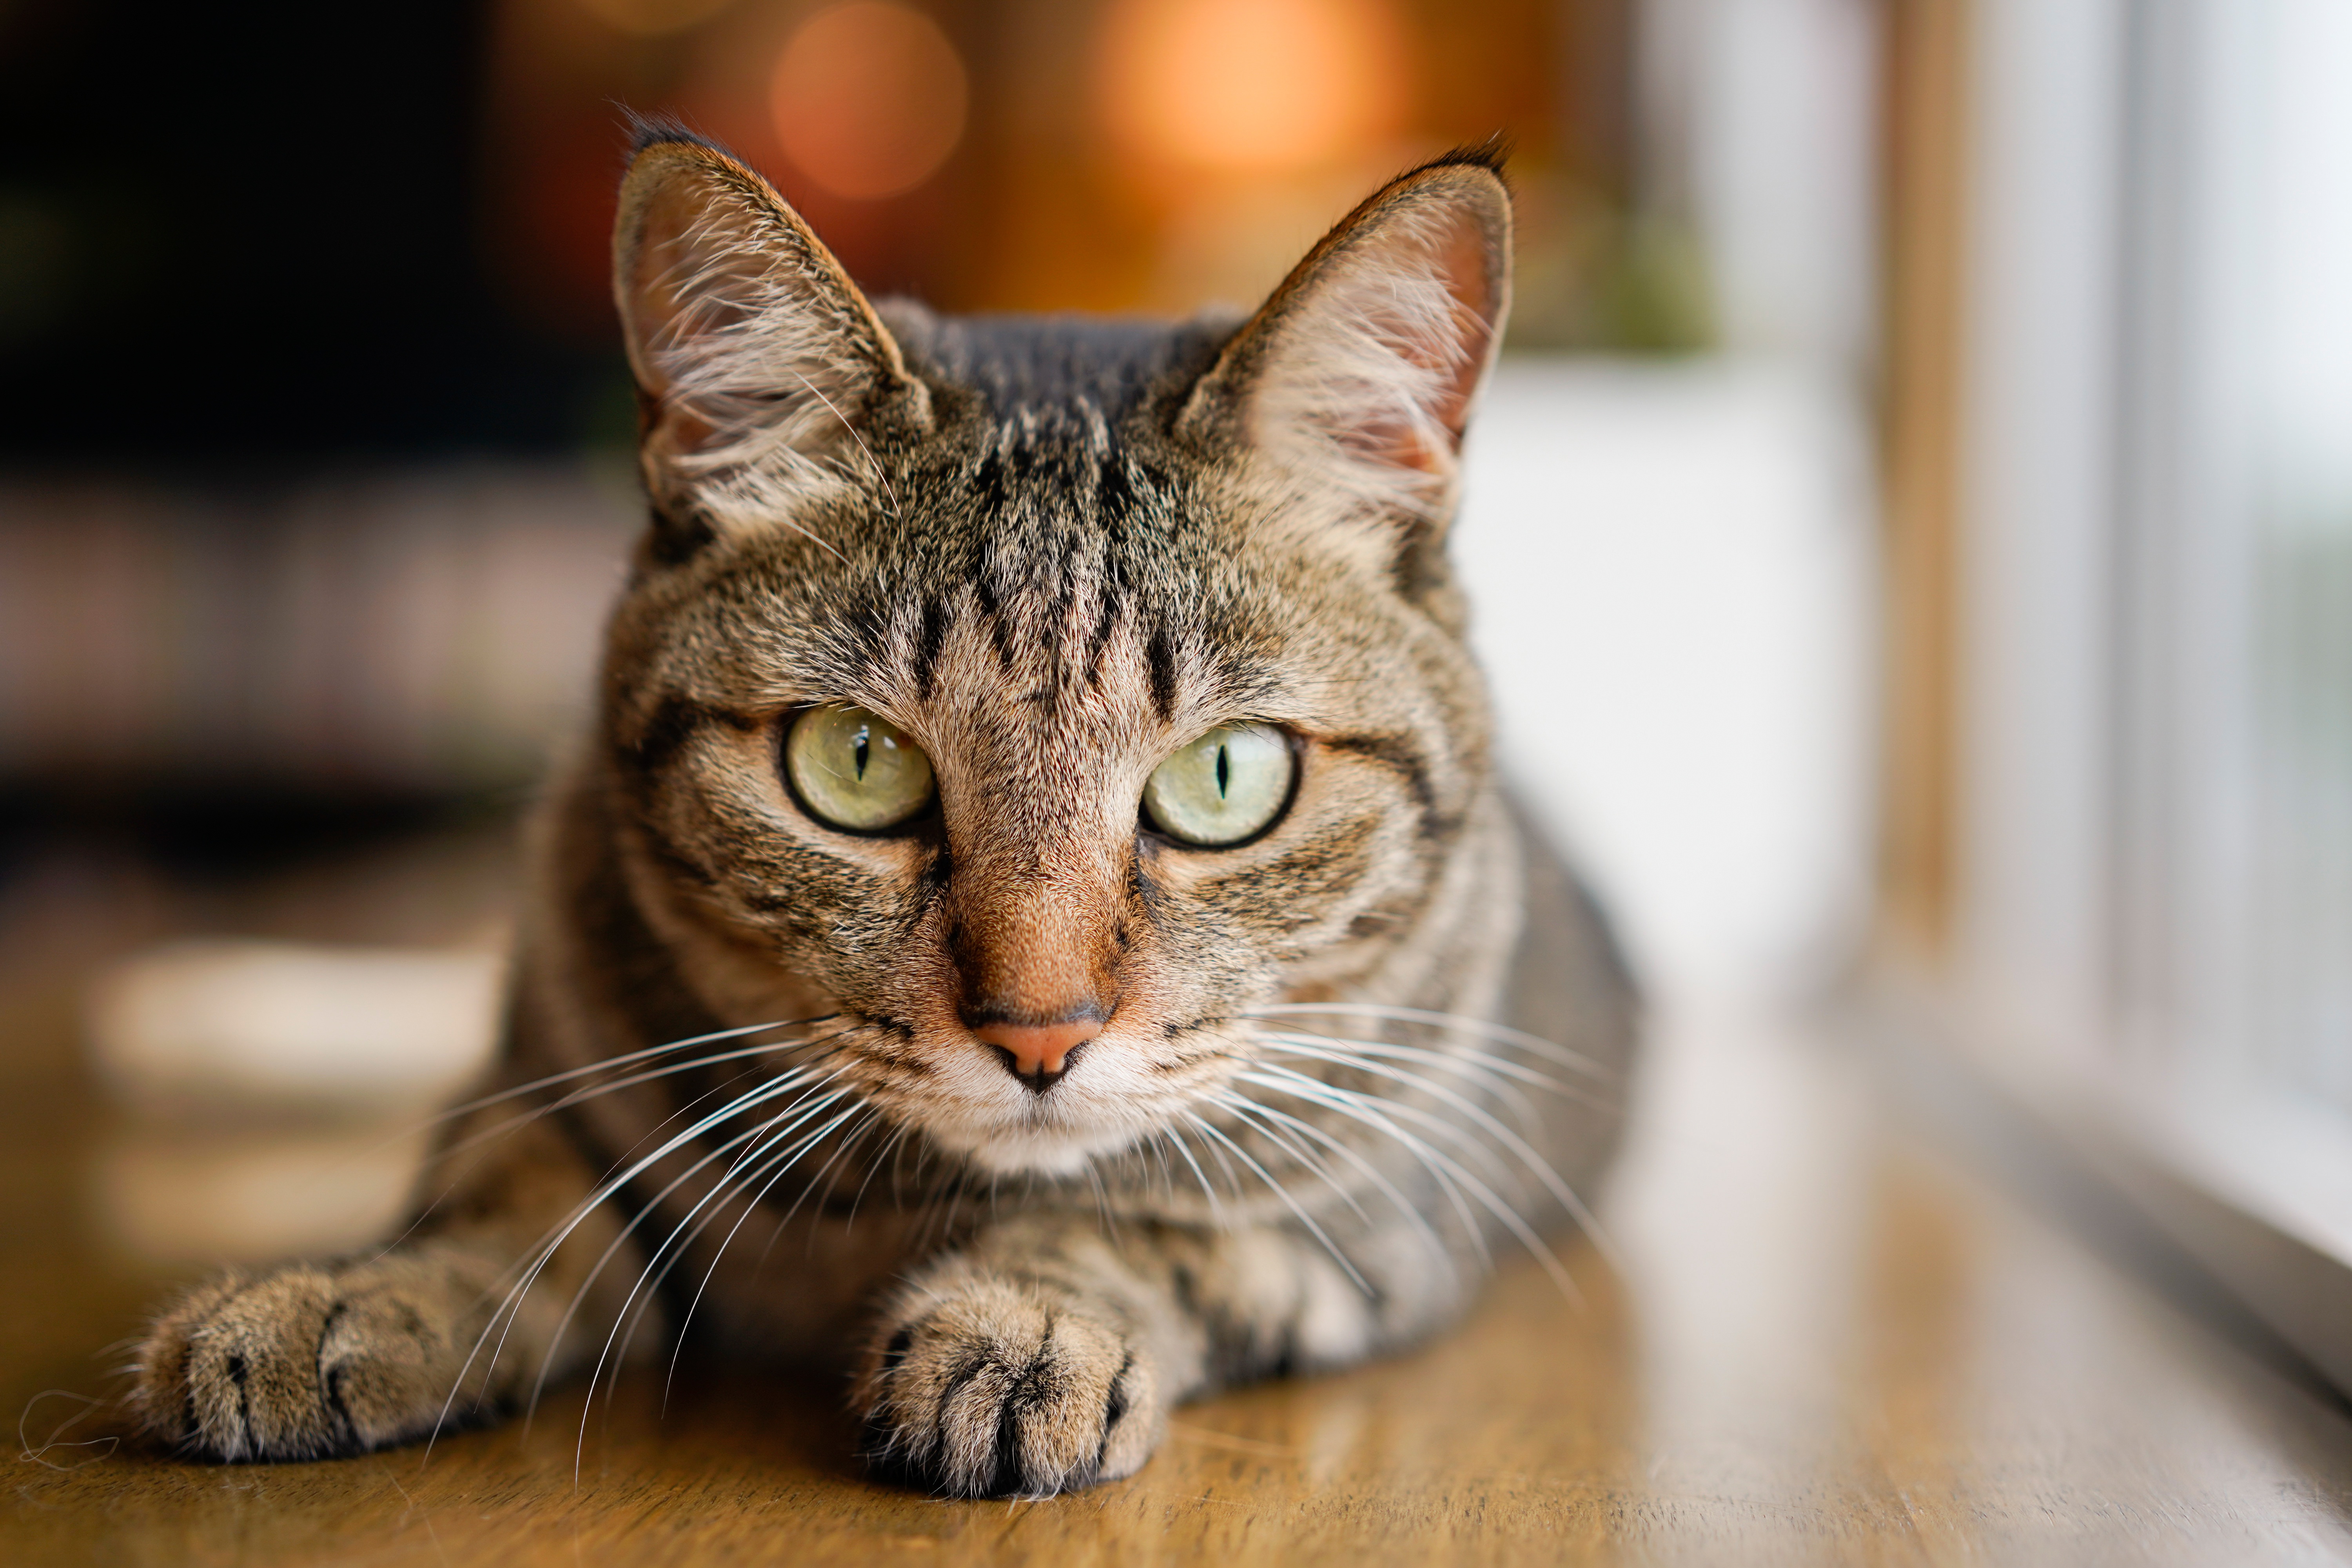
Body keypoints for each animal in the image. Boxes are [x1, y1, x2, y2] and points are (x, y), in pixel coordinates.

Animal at [129, 123, 1637, 1495]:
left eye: (1224, 780)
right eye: (858, 764)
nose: (1040, 1036)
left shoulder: (1381, 1222)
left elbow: (1149, 1224)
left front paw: (1022, 1324)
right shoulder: (546, 1057)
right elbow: (502, 1196)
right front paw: (347, 1296)